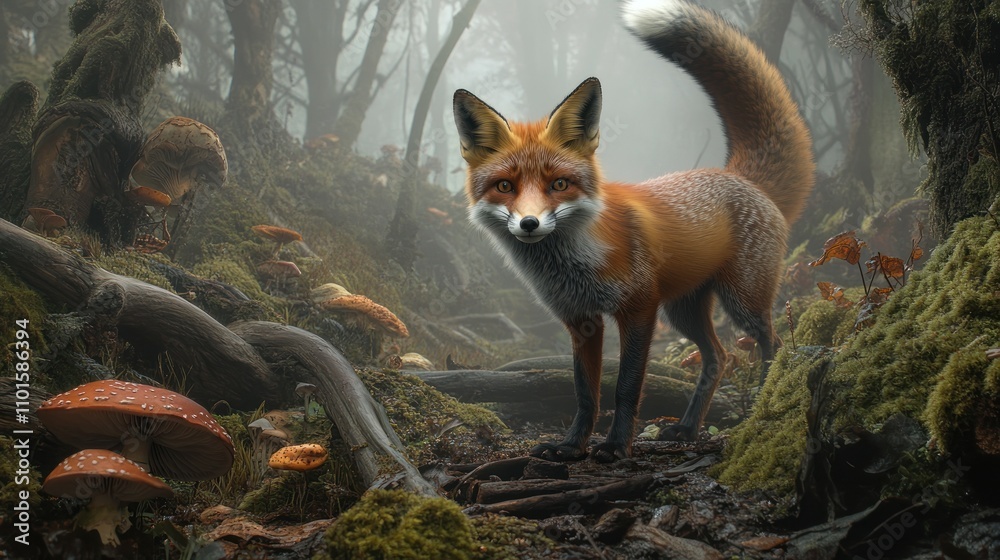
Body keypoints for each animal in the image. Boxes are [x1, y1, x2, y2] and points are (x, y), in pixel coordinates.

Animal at [453, 0, 815, 462]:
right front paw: (572, 446)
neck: (575, 263)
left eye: (559, 184)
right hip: (683, 310)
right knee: (718, 357)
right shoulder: (581, 320)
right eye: (505, 187)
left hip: (741, 301)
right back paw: (687, 428)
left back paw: (762, 410)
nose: (529, 223)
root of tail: (739, 175)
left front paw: (616, 446)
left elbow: (625, 388)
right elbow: (585, 393)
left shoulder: (639, 309)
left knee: (773, 345)